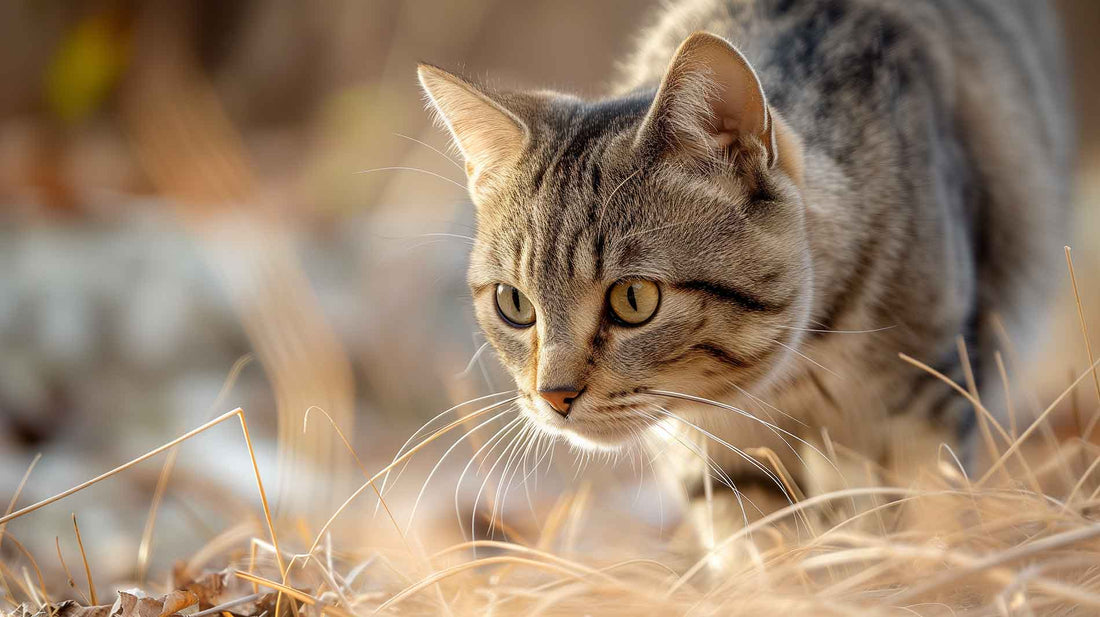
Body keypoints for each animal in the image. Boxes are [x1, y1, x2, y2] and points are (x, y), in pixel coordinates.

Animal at [415, 0, 1069, 530]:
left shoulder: (928, 398)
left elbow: (933, 525)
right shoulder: (719, 459)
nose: (553, 396)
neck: (793, 375)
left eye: (634, 299)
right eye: (514, 304)